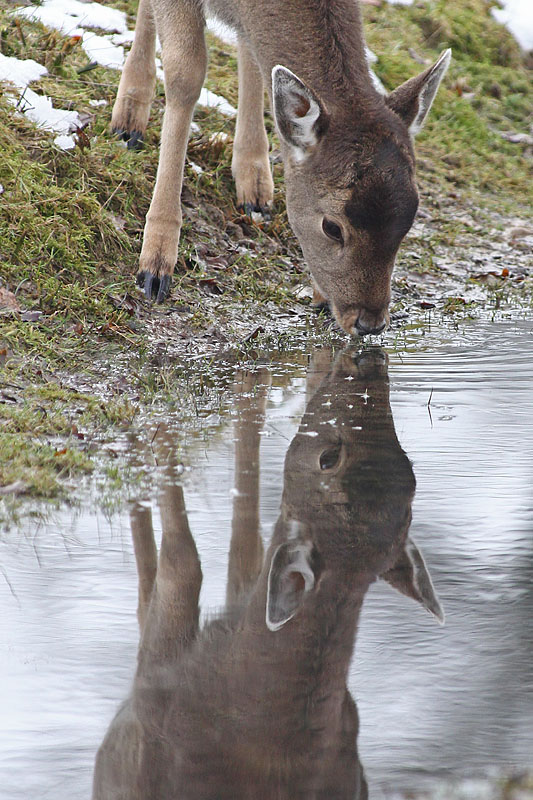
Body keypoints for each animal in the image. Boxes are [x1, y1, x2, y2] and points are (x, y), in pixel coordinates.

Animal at [93, 350, 442, 800]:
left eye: (326, 459)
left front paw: (162, 426)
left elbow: (186, 563)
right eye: (411, 476)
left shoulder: (153, 684)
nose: (367, 364)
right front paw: (251, 380)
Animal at [111, 0, 448, 334]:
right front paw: (155, 265)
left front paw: (254, 182)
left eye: (408, 223)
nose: (369, 322)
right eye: (332, 227)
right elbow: (186, 76)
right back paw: (128, 118)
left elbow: (252, 53)